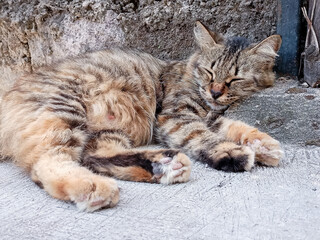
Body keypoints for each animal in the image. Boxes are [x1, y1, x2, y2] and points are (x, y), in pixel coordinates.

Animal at [0, 21, 282, 212]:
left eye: (235, 79)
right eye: (209, 72)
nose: (214, 92)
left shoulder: (210, 117)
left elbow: (237, 127)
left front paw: (263, 144)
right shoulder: (176, 118)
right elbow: (207, 138)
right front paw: (232, 152)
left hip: (107, 130)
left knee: (95, 157)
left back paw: (163, 165)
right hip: (64, 113)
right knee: (47, 164)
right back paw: (93, 187)